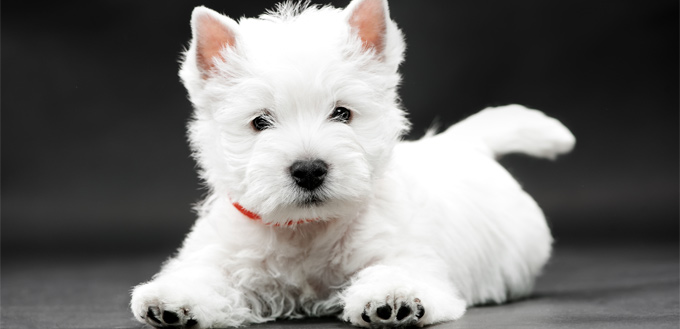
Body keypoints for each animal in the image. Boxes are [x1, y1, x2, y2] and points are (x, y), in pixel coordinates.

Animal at [129, 1, 572, 326]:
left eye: (342, 113)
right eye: (259, 122)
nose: (309, 170)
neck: (306, 229)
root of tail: (464, 143)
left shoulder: (408, 254)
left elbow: (396, 271)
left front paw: (393, 299)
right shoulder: (223, 251)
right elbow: (204, 273)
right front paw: (173, 301)